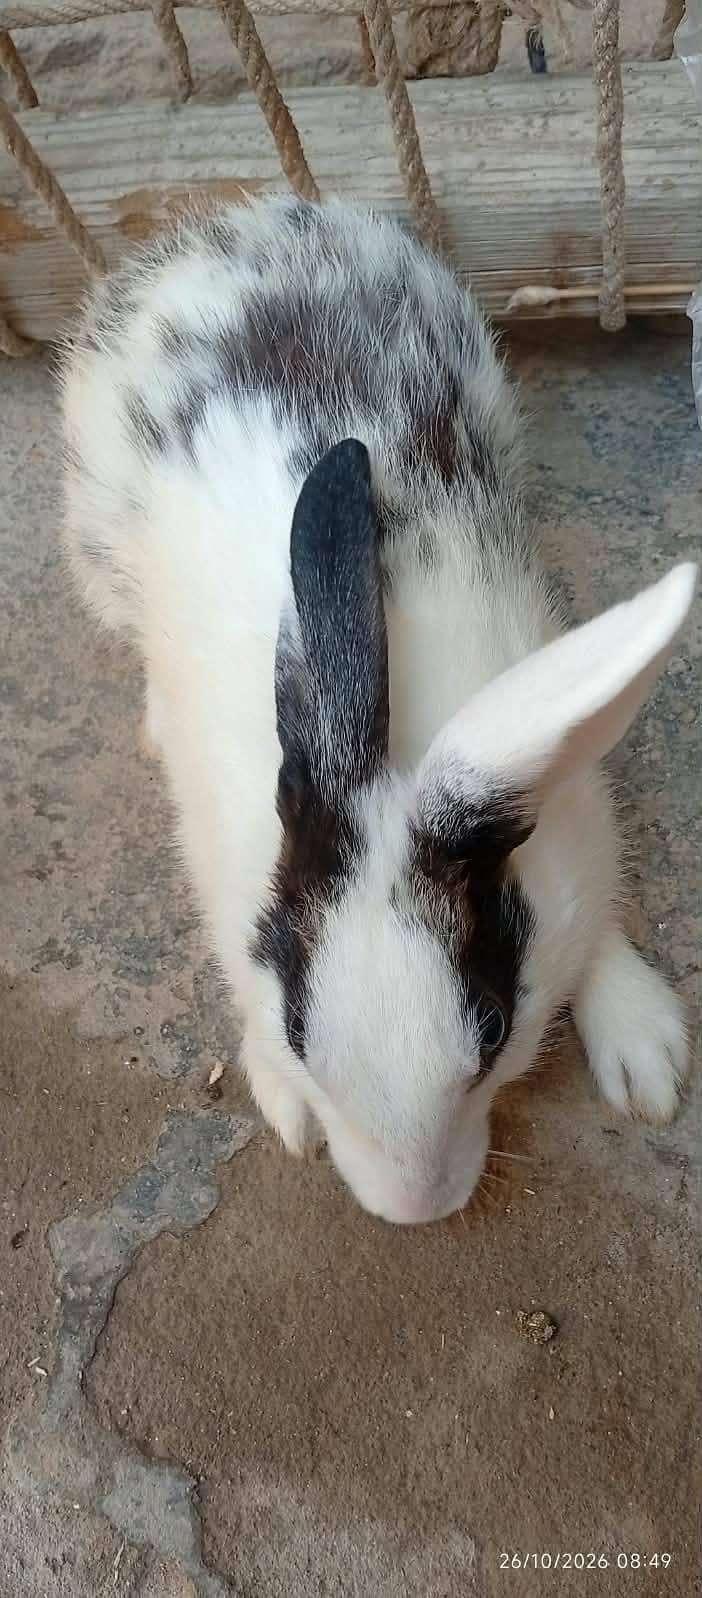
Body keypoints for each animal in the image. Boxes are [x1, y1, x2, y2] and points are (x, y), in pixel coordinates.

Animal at [61, 196, 696, 1226]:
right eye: (295, 1027)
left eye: (492, 1028)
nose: (412, 1211)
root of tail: (233, 226)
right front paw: (285, 1106)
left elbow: (598, 925)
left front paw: (647, 1058)